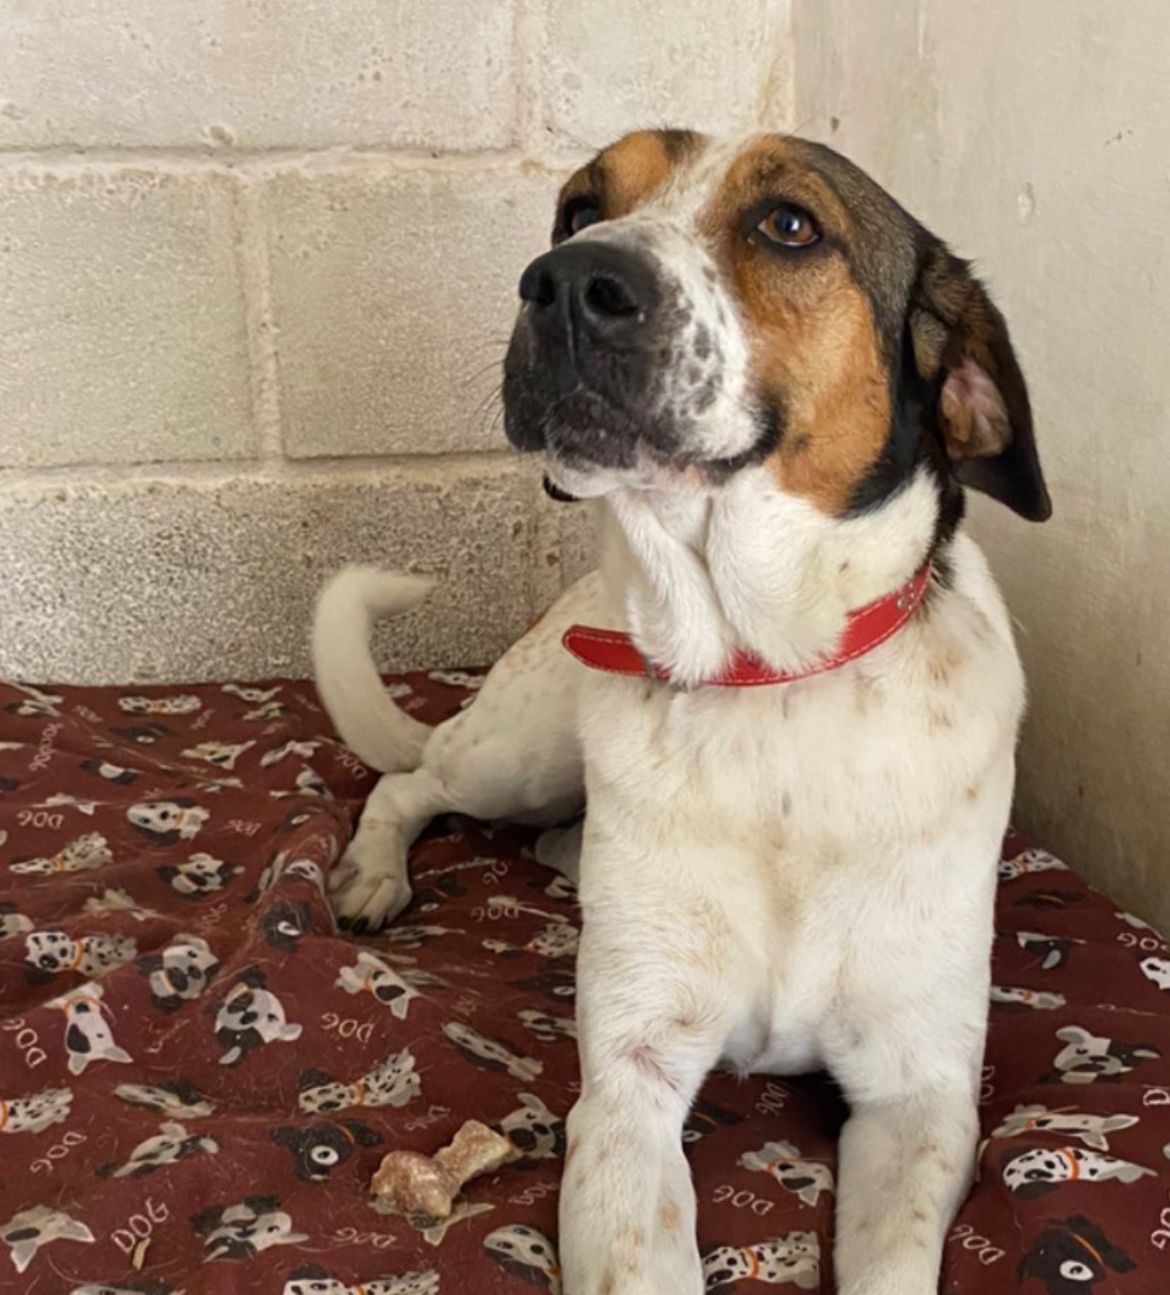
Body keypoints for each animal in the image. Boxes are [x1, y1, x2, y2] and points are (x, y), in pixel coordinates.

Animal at [308, 128, 1052, 1295]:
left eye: (789, 224)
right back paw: (374, 874)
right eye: (578, 209)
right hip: (516, 751)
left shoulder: (918, 1092)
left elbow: (893, 1260)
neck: (764, 678)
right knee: (409, 776)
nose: (566, 281)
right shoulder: (630, 1084)